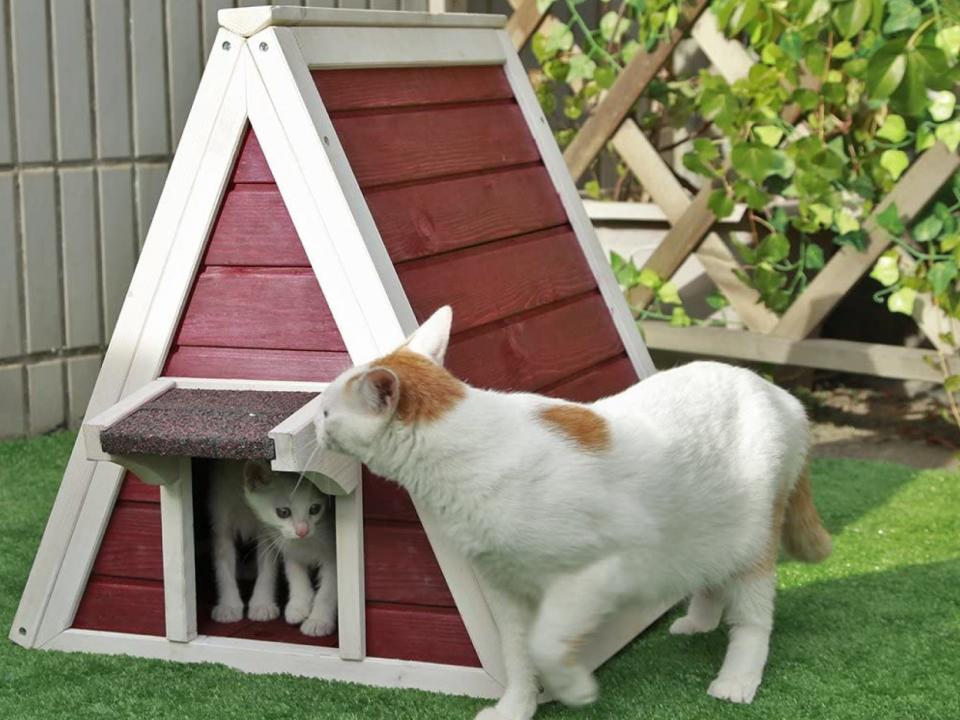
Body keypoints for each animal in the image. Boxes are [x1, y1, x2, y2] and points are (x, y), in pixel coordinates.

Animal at [207, 462, 338, 636]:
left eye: (315, 509)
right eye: (283, 512)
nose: (302, 531)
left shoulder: (267, 532)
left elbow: (268, 567)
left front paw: (262, 604)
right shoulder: (221, 521)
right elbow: (223, 567)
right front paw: (228, 605)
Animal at [312, 308, 828, 720]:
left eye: (326, 413)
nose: (313, 424)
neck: (461, 451)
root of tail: (780, 395)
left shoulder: (594, 574)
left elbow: (545, 644)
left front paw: (575, 689)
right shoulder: (507, 589)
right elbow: (517, 653)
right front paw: (516, 708)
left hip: (753, 538)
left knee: (754, 618)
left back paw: (736, 680)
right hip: (706, 529)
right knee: (712, 576)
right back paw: (699, 621)